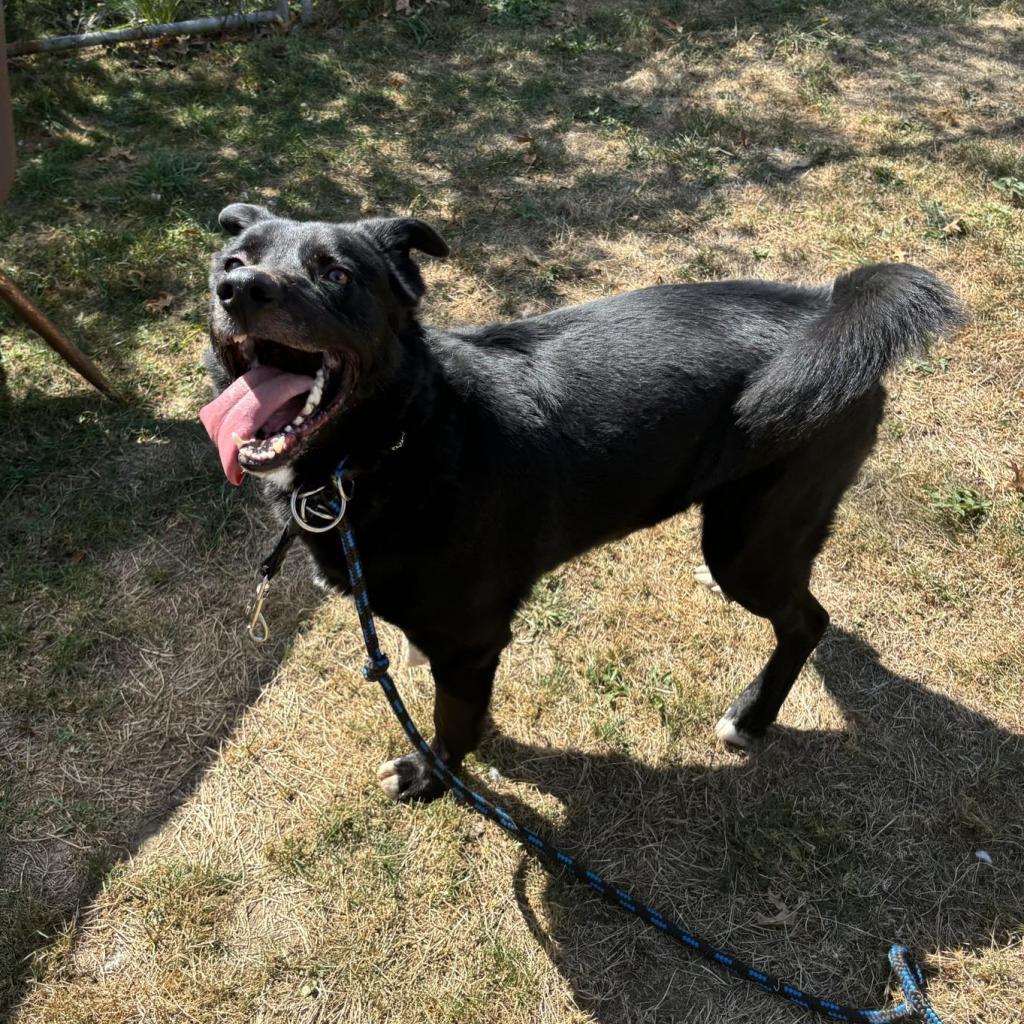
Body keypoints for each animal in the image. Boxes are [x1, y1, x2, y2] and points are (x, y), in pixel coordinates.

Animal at [203, 203, 962, 802]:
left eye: (336, 274)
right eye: (233, 260)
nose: (235, 289)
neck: (395, 442)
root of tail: (831, 306)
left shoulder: (471, 640)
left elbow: (450, 721)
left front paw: (431, 775)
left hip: (750, 542)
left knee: (806, 620)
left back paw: (752, 717)